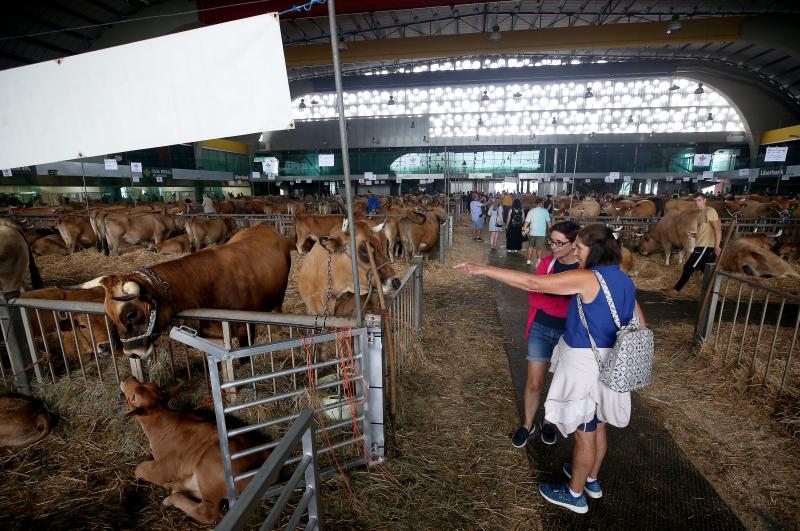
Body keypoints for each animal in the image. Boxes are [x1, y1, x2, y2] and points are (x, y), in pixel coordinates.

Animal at [76, 224, 290, 358]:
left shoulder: (246, 331)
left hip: (280, 293)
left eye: (132, 314)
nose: (132, 354)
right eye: (110, 316)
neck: (205, 283)